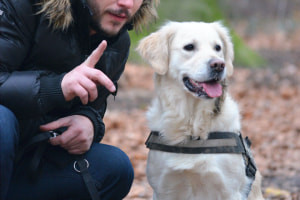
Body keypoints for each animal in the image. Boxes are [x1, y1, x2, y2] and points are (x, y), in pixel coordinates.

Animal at [137, 21, 264, 199]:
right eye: (189, 47)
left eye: (217, 47)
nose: (219, 64)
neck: (192, 124)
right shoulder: (164, 189)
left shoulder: (230, 191)